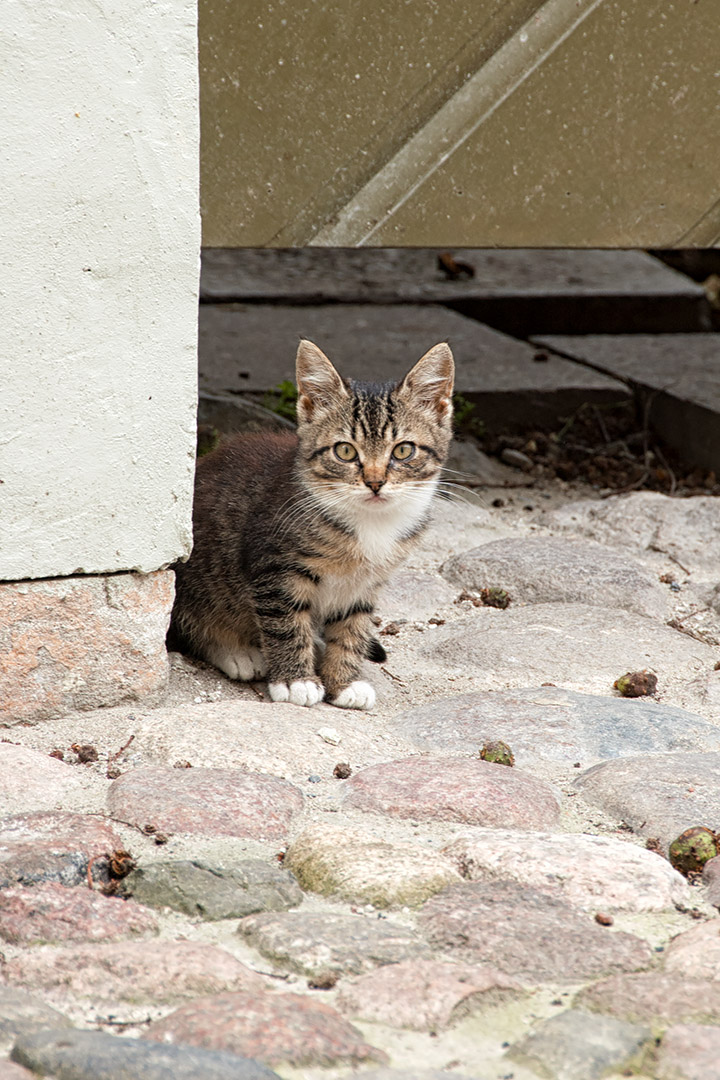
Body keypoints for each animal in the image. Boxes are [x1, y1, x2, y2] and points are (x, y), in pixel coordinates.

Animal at [167, 336, 455, 708]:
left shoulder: (364, 585)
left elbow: (352, 629)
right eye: (345, 451)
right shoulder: (276, 570)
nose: (375, 482)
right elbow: (286, 624)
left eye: (403, 451)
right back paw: (236, 652)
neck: (370, 524)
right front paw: (296, 681)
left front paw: (343, 681)